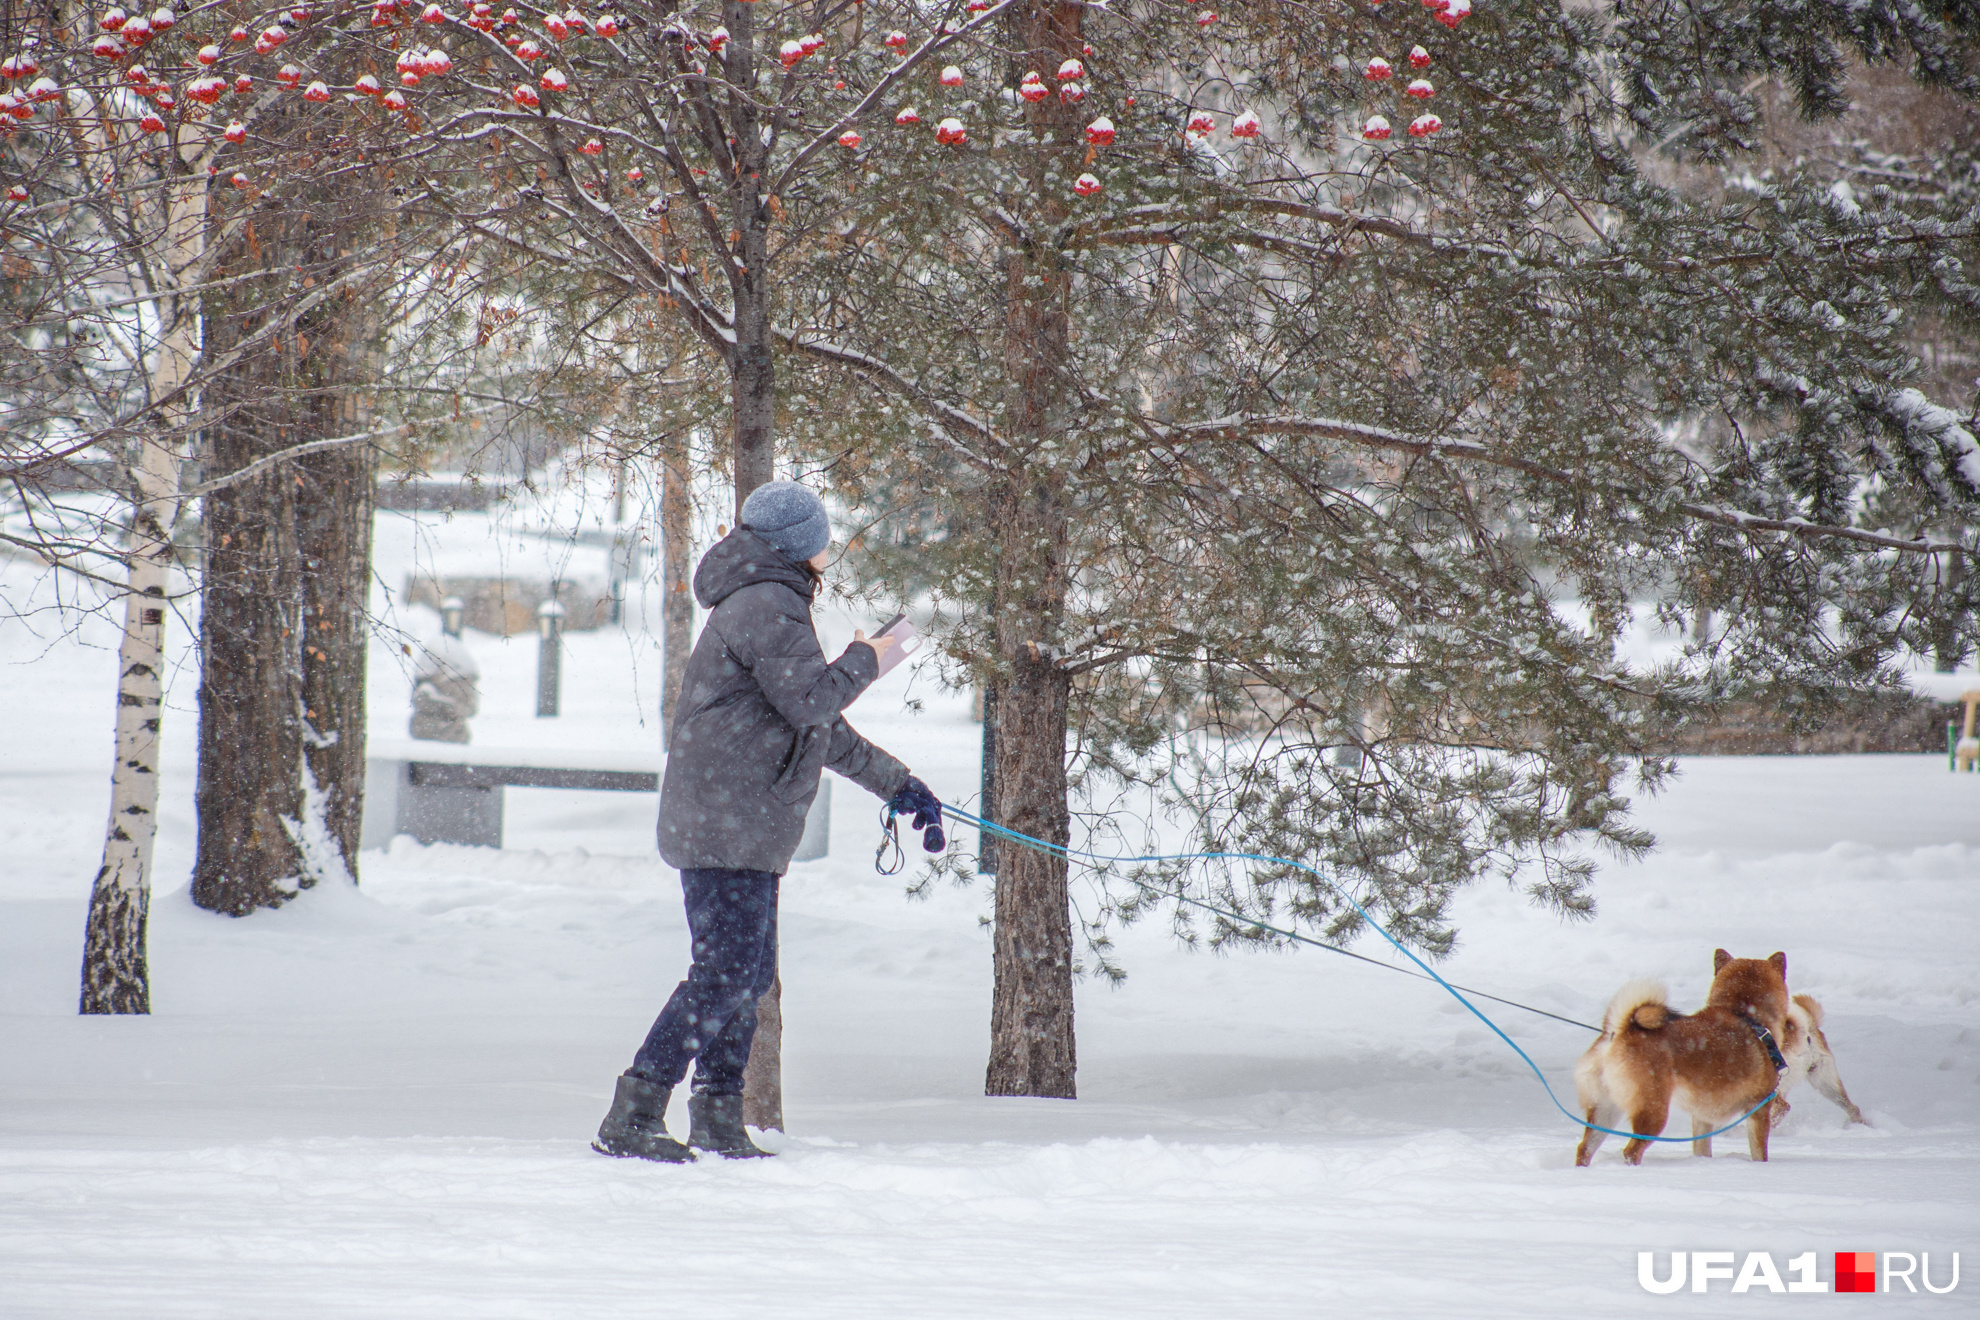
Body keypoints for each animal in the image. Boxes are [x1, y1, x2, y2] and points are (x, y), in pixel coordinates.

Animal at [1576, 949, 1797, 1163]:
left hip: (1605, 1112)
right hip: (1653, 1113)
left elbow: (1702, 1150)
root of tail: (1620, 1031)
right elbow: (1760, 1153)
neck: (1746, 1015)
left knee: (1584, 1149)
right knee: (1631, 1151)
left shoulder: (1702, 1117)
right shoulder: (1758, 1108)